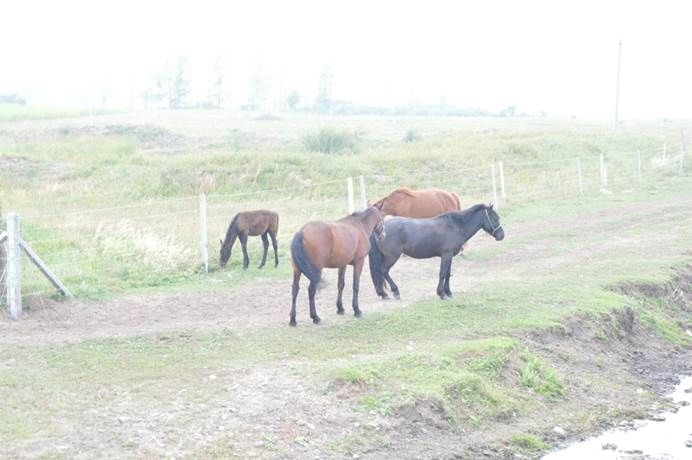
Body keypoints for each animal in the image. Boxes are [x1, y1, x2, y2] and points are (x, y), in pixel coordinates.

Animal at [368, 203, 502, 300]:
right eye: (495, 218)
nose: (502, 235)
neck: (455, 226)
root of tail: (381, 228)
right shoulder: (446, 254)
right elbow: (442, 273)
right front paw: (442, 294)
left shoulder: (449, 256)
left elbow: (448, 274)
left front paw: (448, 292)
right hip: (392, 257)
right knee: (383, 270)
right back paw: (395, 291)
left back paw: (384, 294)